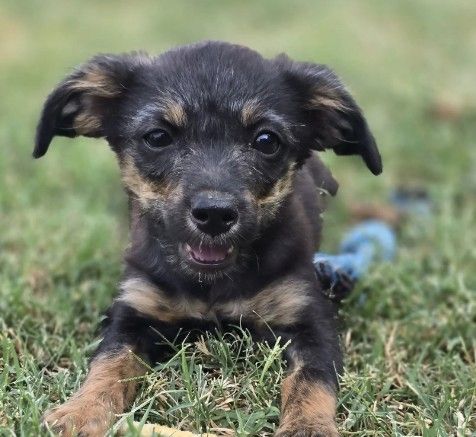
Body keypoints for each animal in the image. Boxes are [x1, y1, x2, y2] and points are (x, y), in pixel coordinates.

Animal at [34, 41, 381, 436]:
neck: (211, 284)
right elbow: (108, 362)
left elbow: (312, 379)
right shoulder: (133, 310)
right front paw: (80, 411)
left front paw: (308, 427)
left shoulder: (310, 319)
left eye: (266, 141)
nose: (215, 215)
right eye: (158, 137)